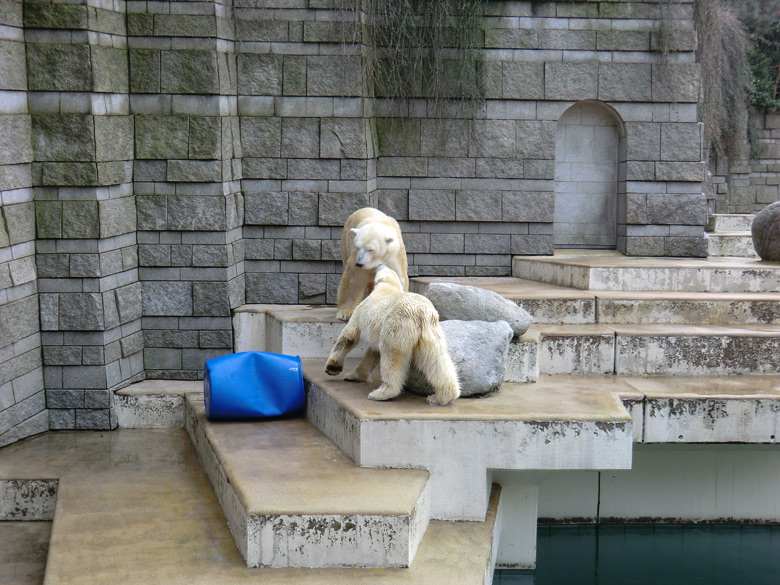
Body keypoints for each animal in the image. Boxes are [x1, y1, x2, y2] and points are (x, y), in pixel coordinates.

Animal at [324, 262, 460, 404]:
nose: (380, 263)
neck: (388, 288)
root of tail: (421, 312)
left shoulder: (361, 310)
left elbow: (349, 336)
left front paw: (333, 368)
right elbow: (373, 352)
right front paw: (354, 375)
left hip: (397, 326)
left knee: (392, 357)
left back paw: (381, 393)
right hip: (430, 332)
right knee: (436, 359)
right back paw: (442, 396)